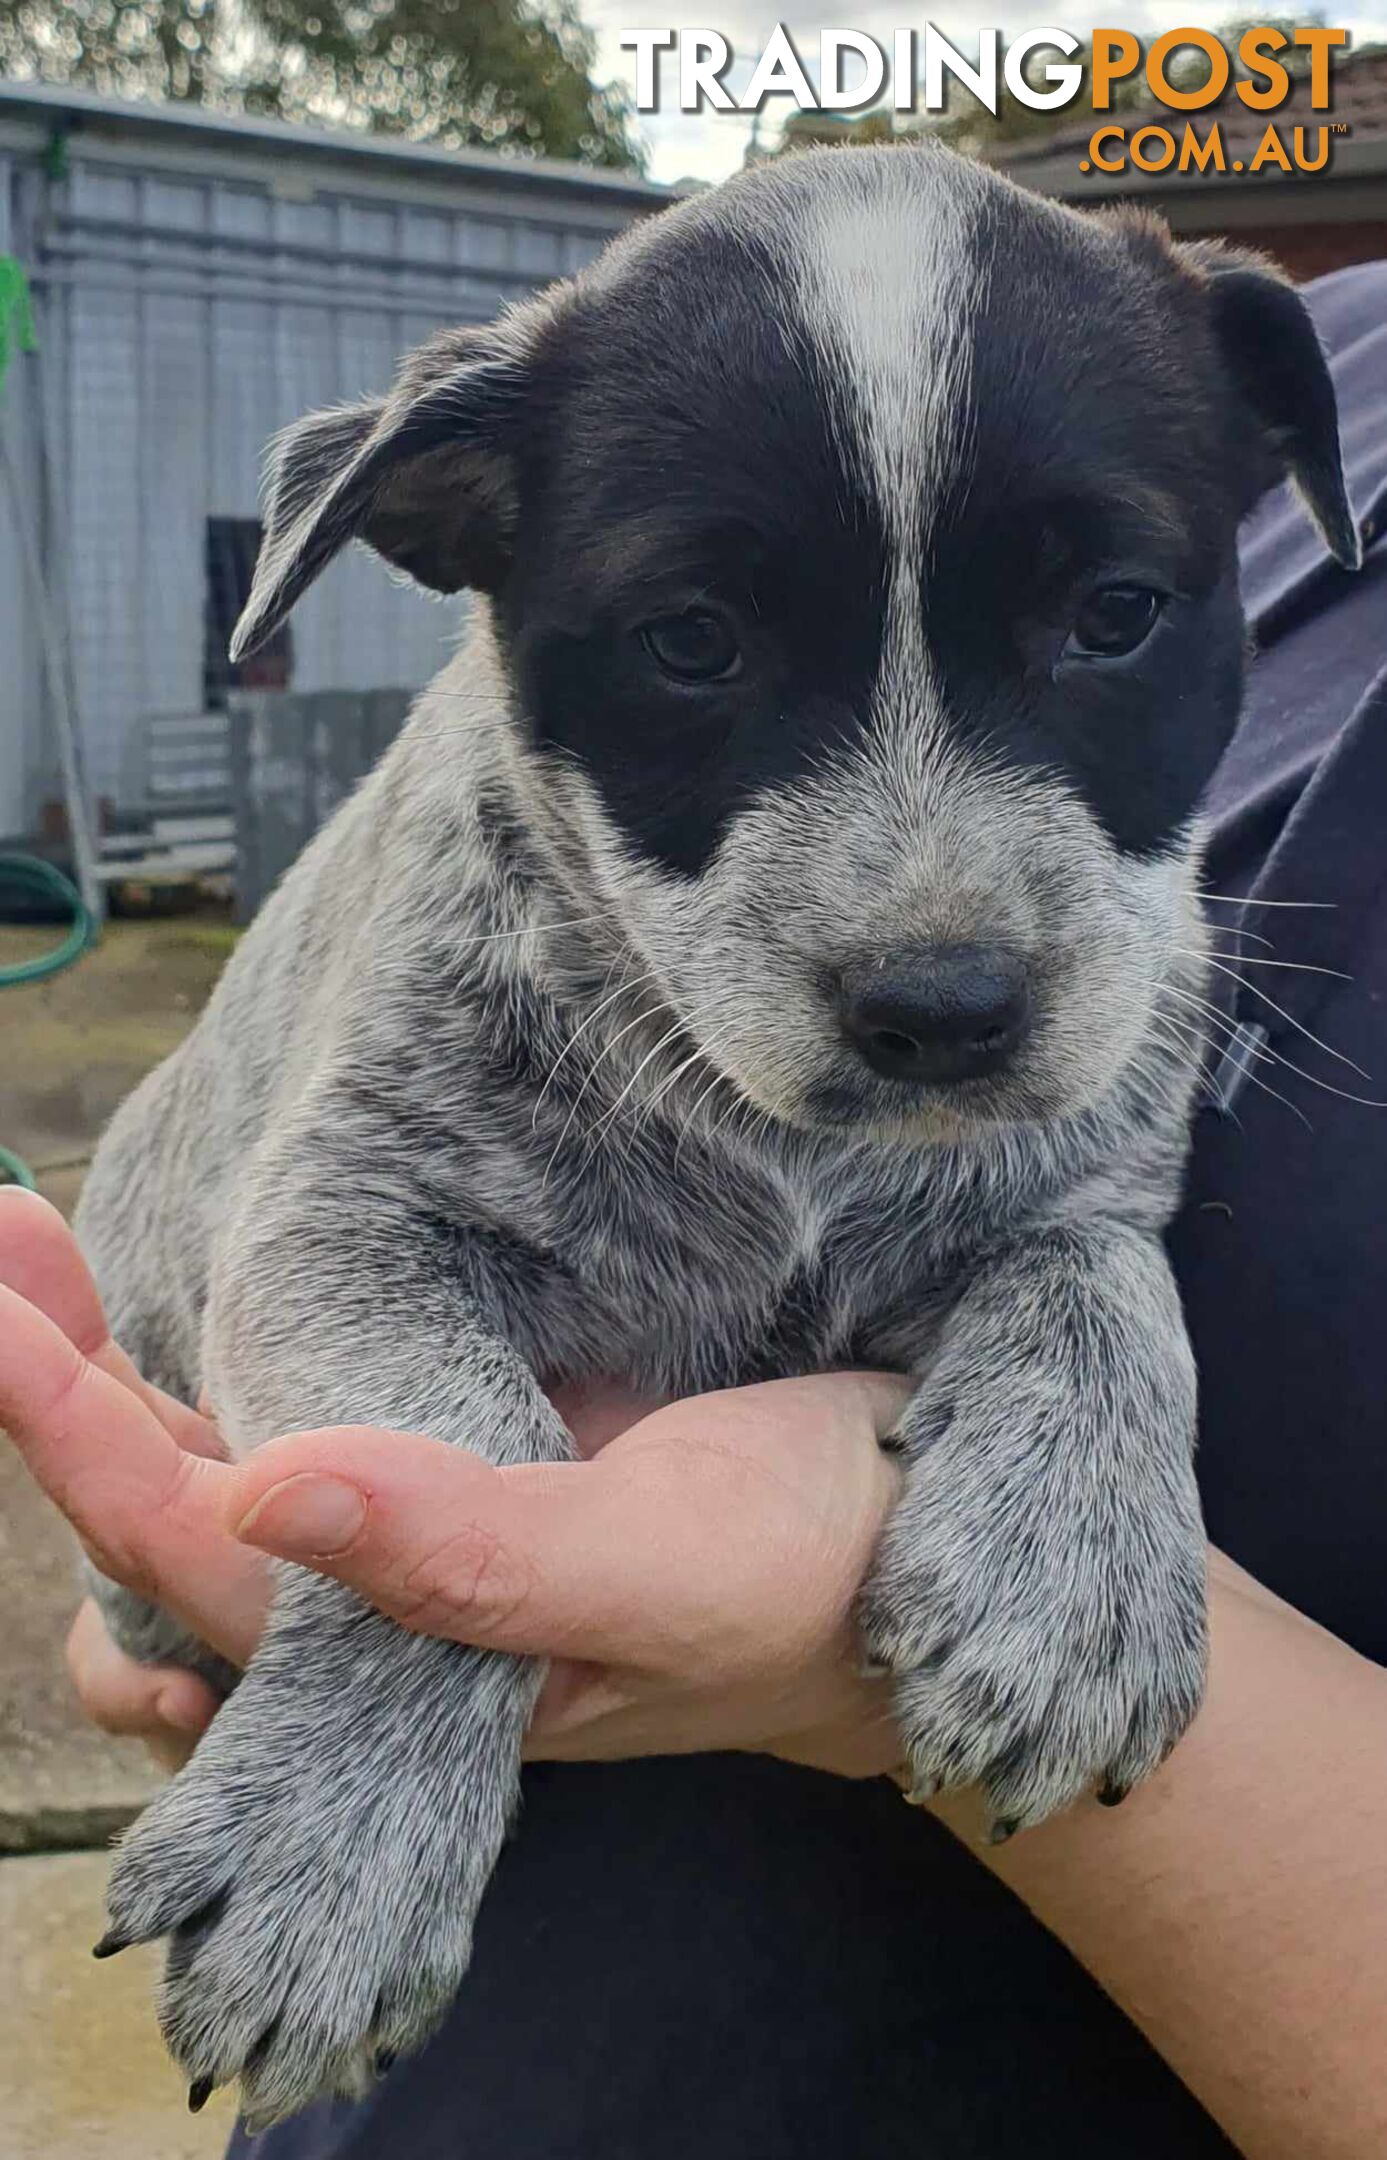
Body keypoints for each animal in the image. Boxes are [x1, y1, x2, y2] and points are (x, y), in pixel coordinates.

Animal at [72, 139, 1348, 2125]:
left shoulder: (1081, 1167)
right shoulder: (337, 1221)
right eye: (691, 644)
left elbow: (1105, 1290)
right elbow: (455, 1459)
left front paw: (1071, 1585)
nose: (942, 1010)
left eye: (1116, 614)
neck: (783, 1153)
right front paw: (328, 1845)